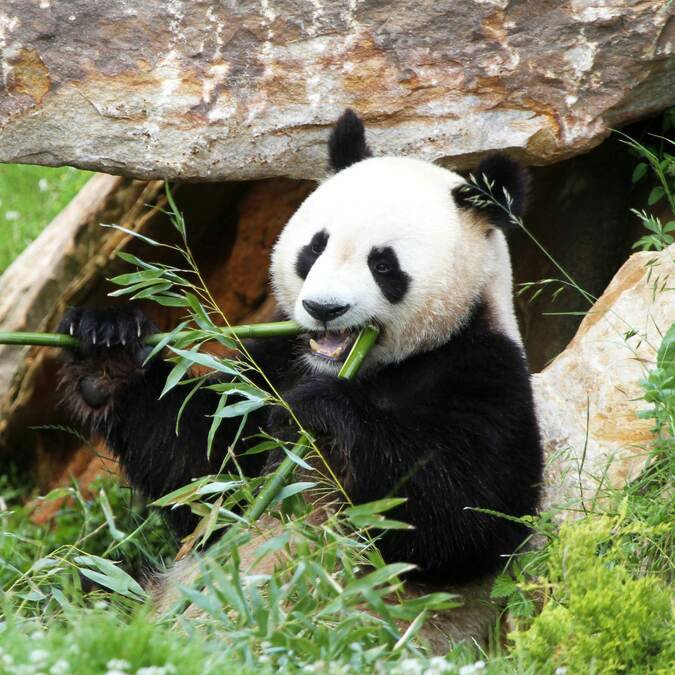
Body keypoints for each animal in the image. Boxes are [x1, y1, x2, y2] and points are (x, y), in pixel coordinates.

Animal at [58, 109, 544, 588]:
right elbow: (202, 468)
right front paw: (108, 345)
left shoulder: (481, 370)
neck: (368, 368)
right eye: (315, 247)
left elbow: (463, 516)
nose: (323, 308)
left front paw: (318, 411)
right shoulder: (276, 363)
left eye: (383, 264)